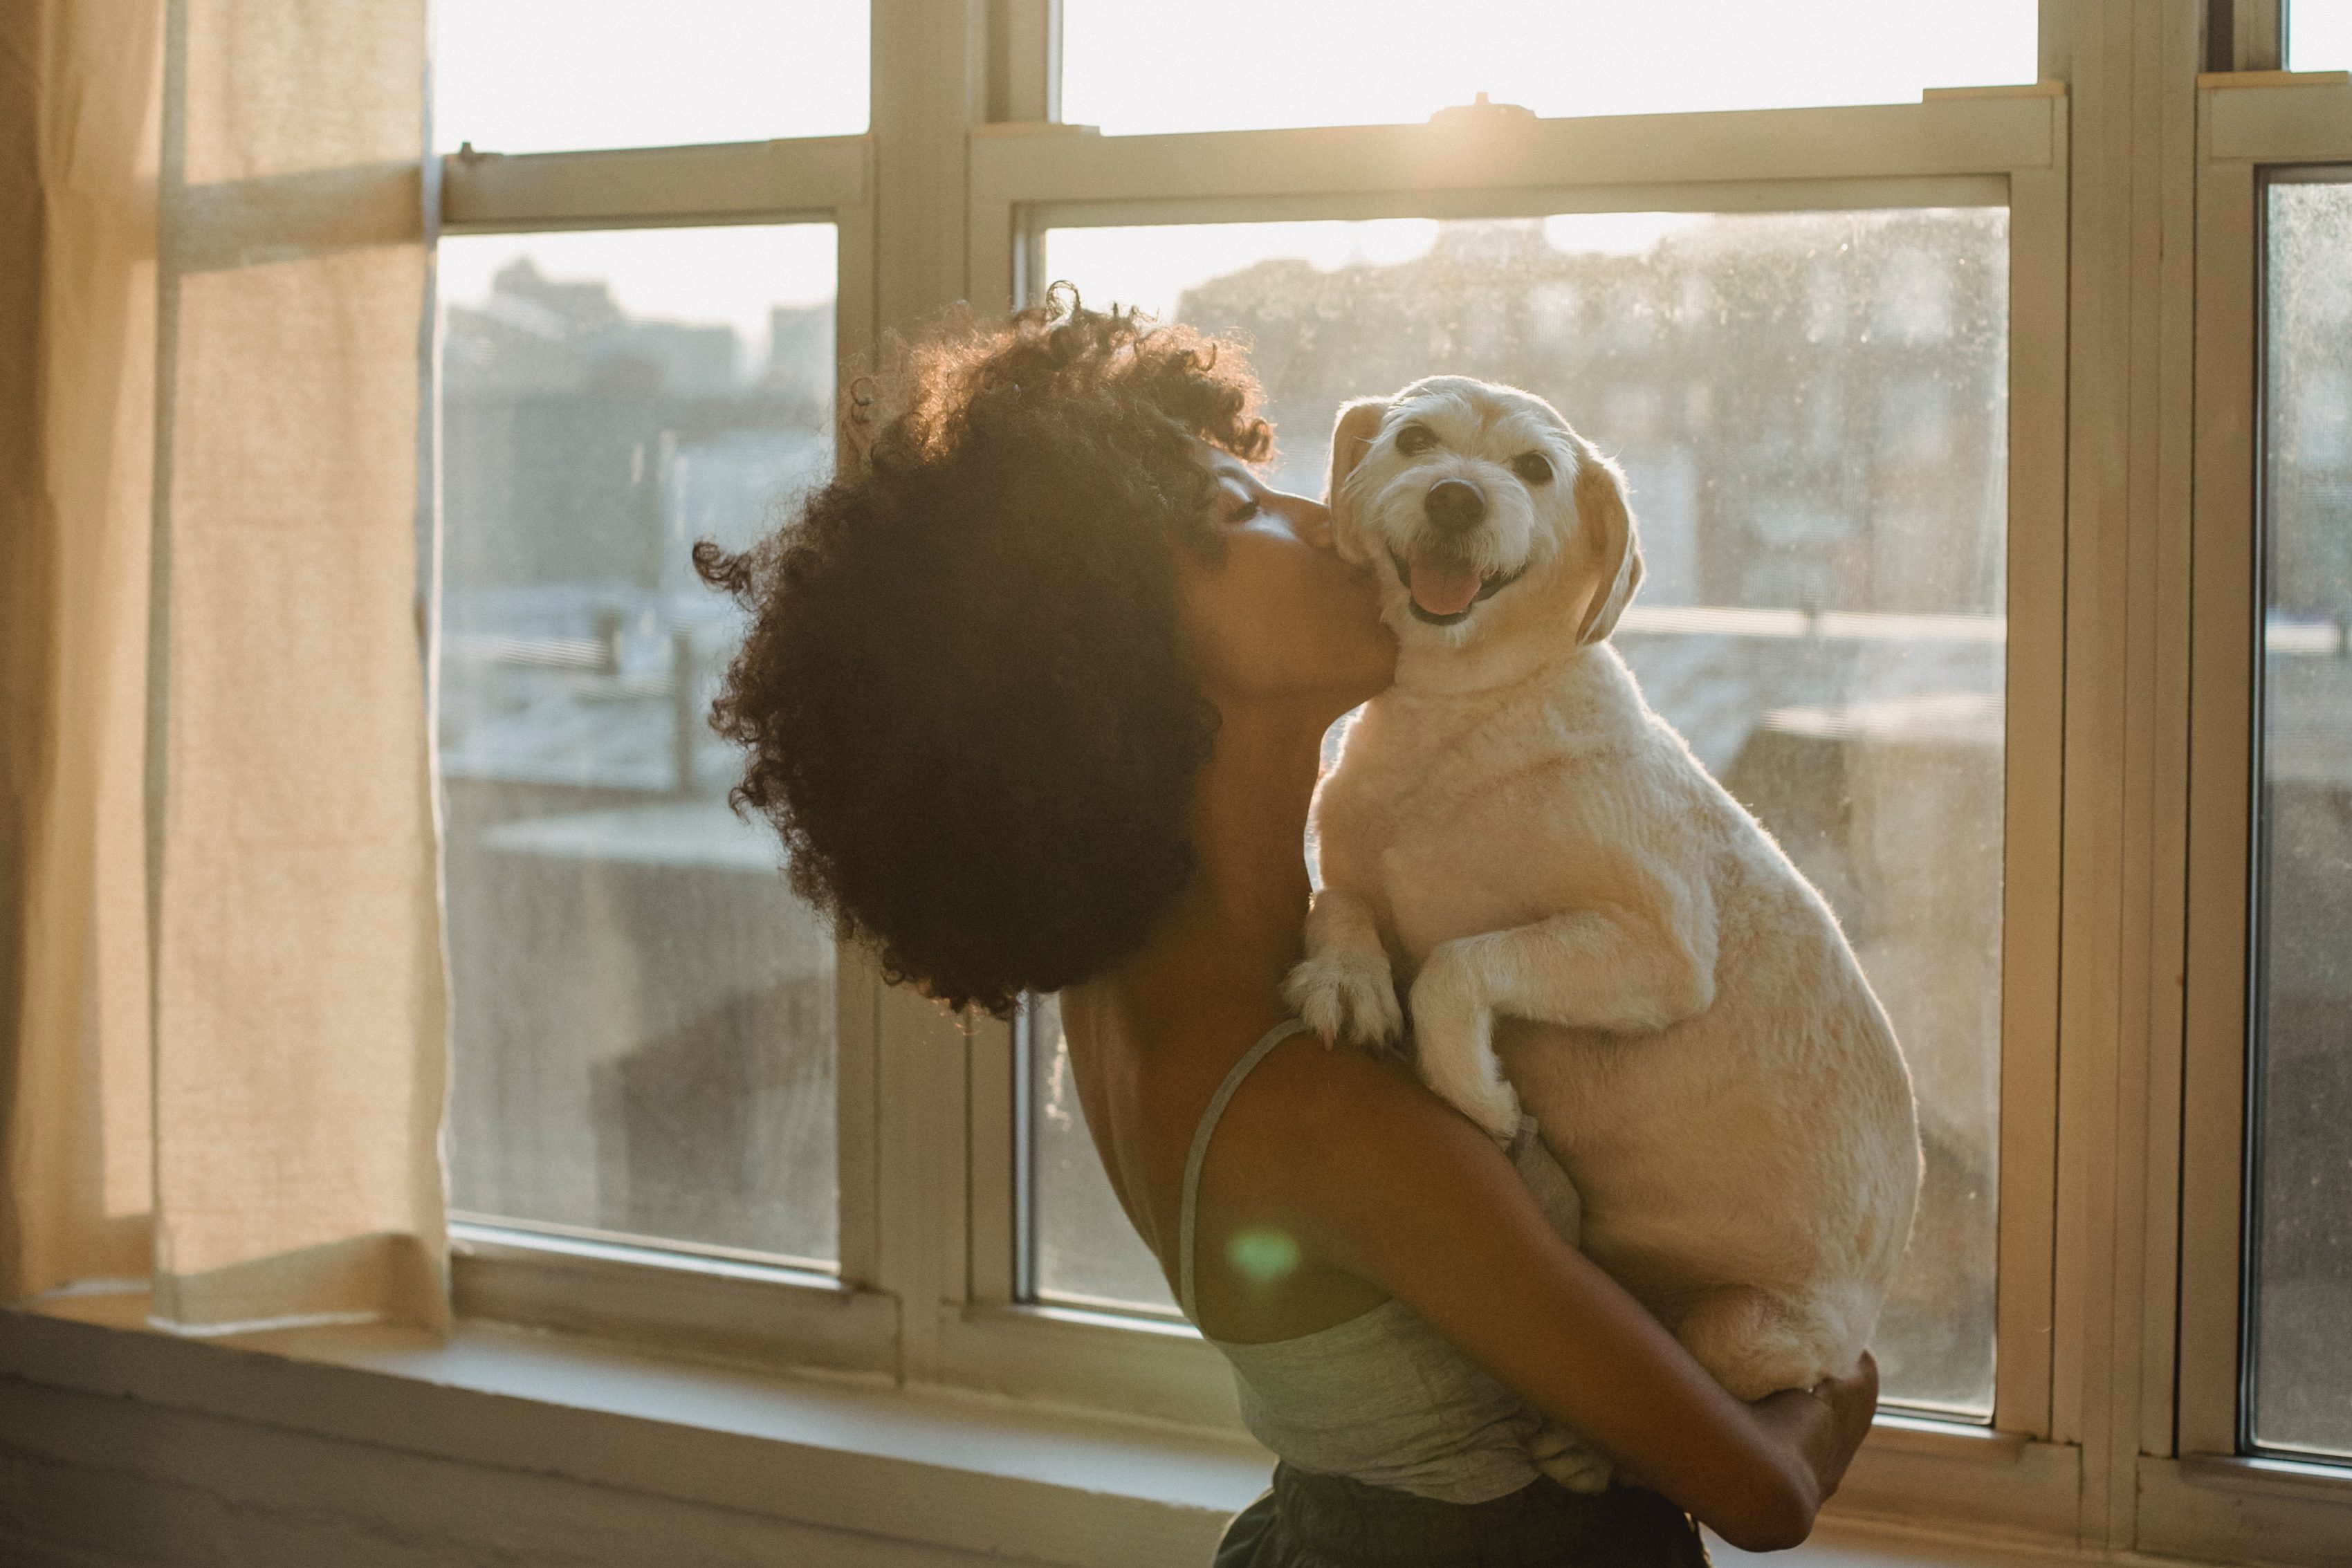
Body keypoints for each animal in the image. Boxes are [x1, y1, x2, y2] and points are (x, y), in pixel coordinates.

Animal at [1289, 376, 1929, 1476]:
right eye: (1414, 439)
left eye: (1535, 468)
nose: (1457, 496)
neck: (1462, 715)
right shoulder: (1353, 853)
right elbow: (1348, 901)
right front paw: (1347, 977)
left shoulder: (1659, 947)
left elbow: (1459, 962)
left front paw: (1478, 1091)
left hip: (1745, 1327)